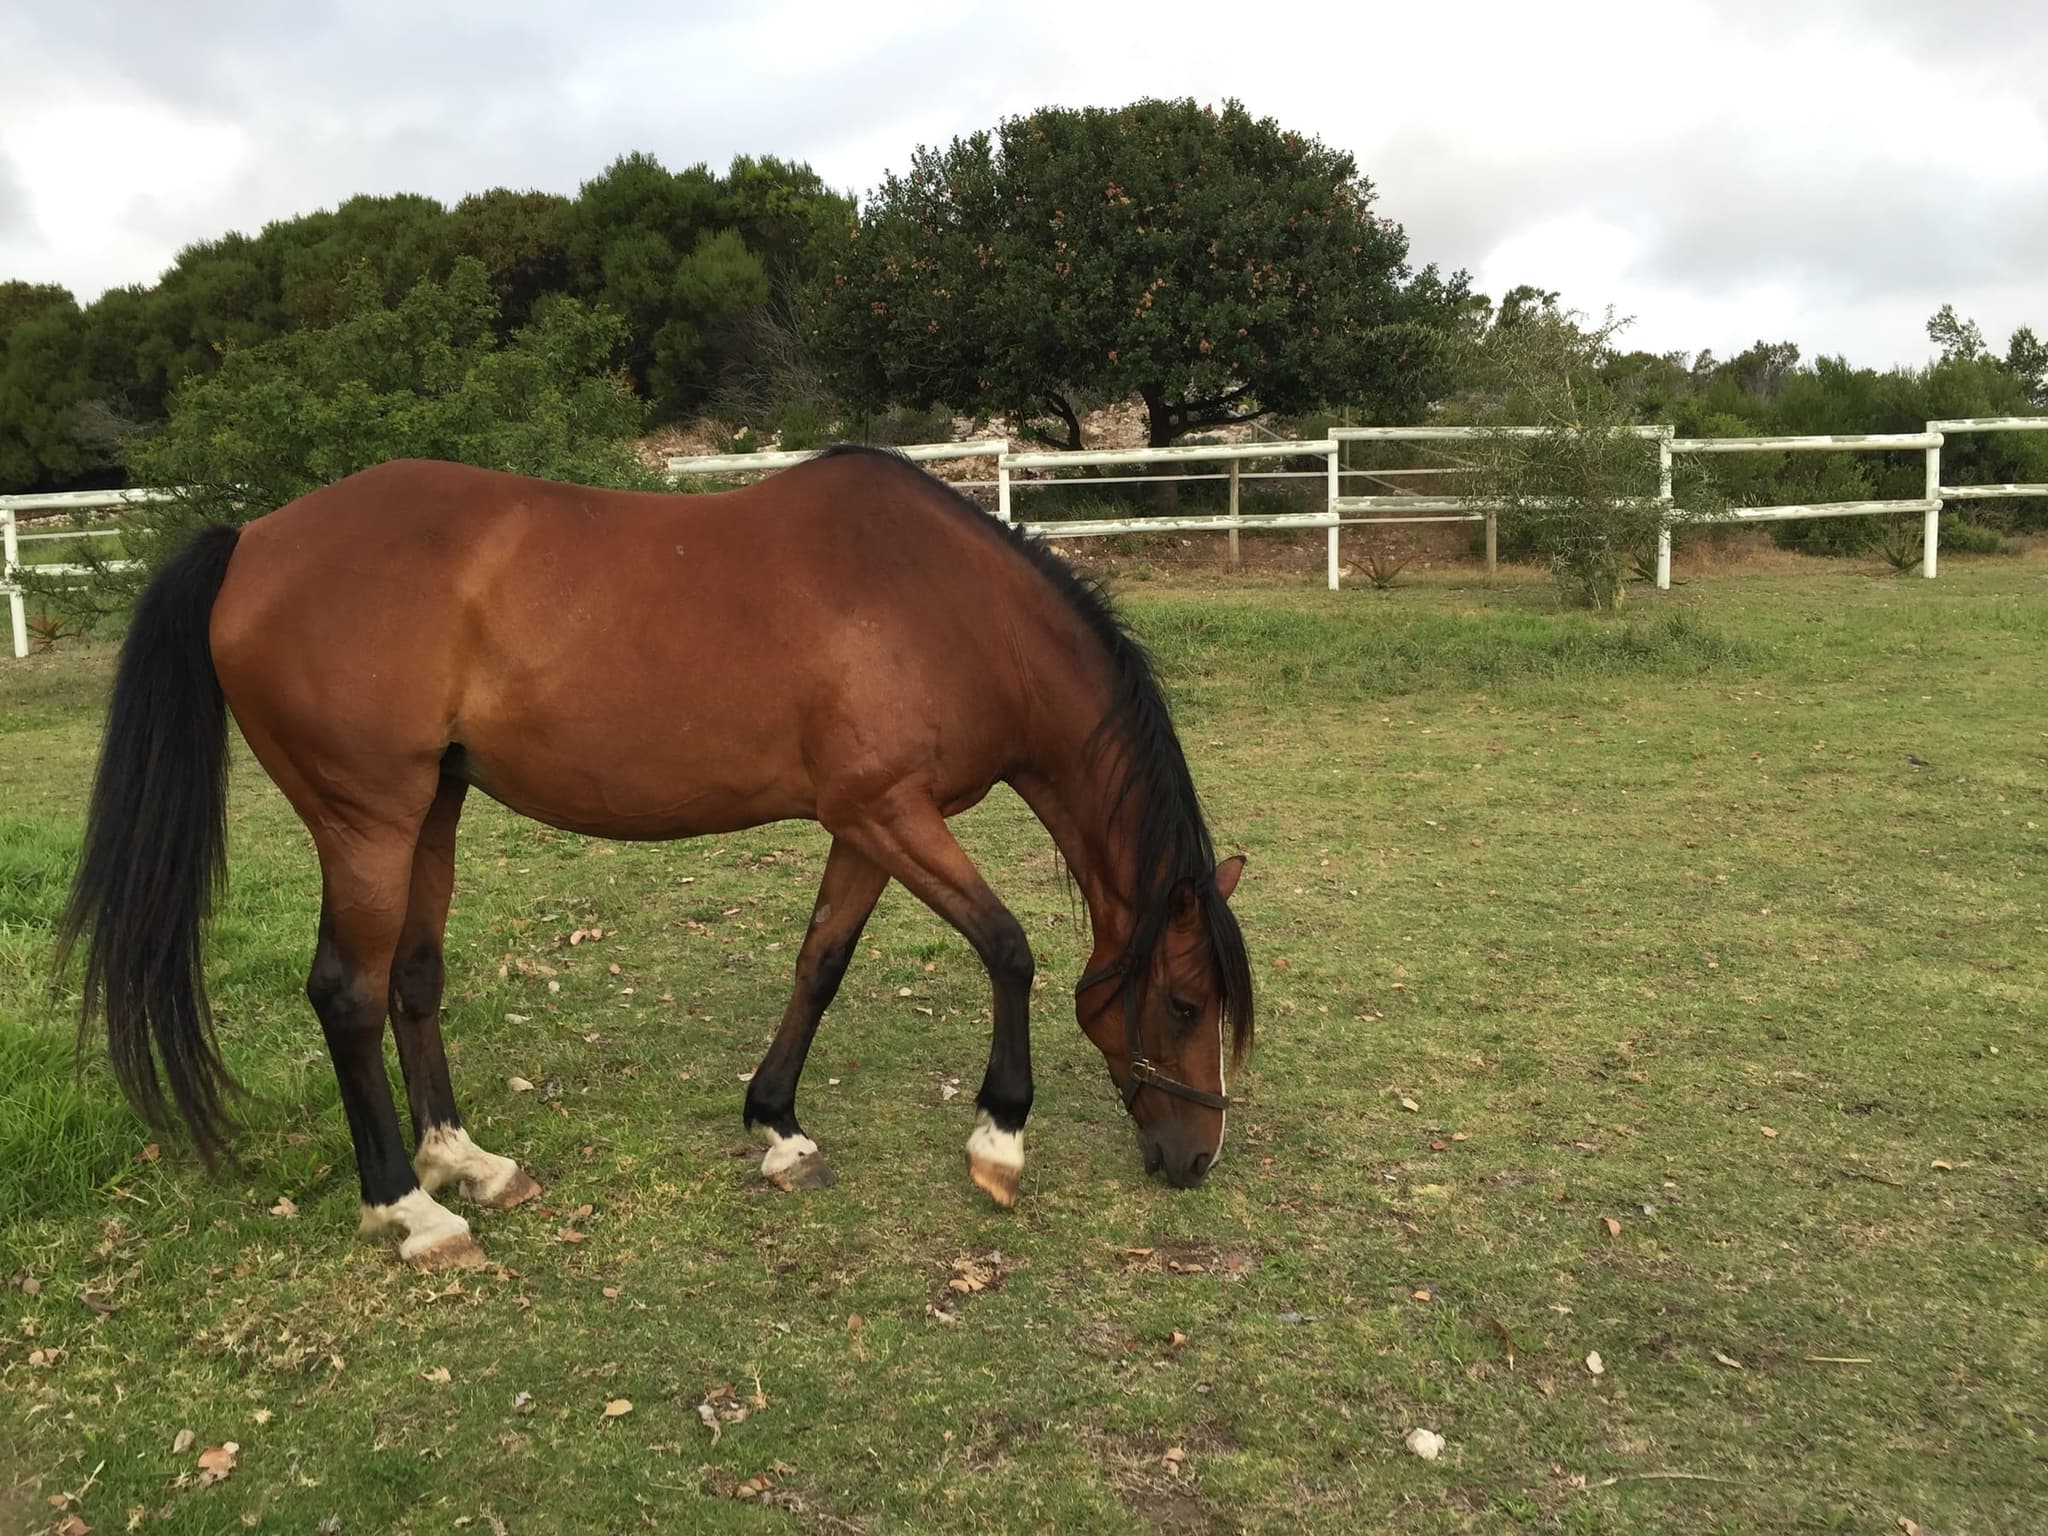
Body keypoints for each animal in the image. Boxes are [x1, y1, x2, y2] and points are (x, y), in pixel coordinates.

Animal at [55, 446, 1254, 1269]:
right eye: (1184, 1004)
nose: (1197, 1158)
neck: (949, 611)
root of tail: (251, 541)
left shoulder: (867, 823)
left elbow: (820, 962)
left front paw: (778, 1128)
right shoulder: (891, 812)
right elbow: (1007, 949)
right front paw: (999, 1140)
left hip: (434, 807)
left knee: (413, 979)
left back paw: (467, 1163)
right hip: (367, 820)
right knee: (346, 993)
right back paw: (412, 1209)